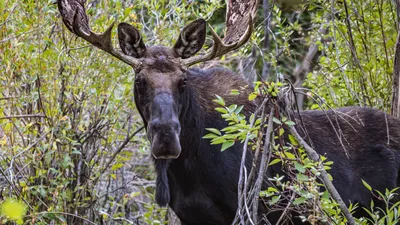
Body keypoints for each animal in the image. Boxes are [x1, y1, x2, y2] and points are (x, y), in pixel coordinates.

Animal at [57, 0, 400, 224]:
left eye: (183, 80)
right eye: (140, 81)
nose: (166, 137)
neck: (188, 170)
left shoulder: (255, 210)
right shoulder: (191, 217)